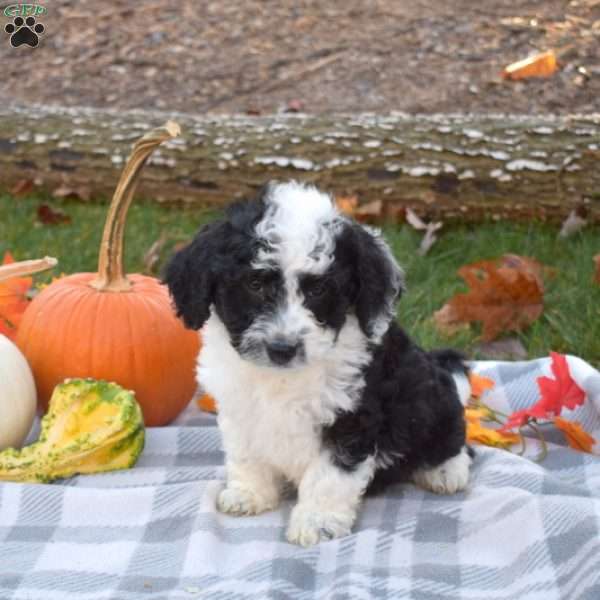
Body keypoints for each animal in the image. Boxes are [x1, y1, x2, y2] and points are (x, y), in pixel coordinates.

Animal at [166, 180, 472, 548]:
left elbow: (330, 474)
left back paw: (446, 471)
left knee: (456, 441)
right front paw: (250, 494)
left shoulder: (352, 418)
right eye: (254, 284)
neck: (283, 377)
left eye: (318, 291)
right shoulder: (240, 409)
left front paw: (317, 520)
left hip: (432, 399)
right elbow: (246, 454)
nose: (282, 348)